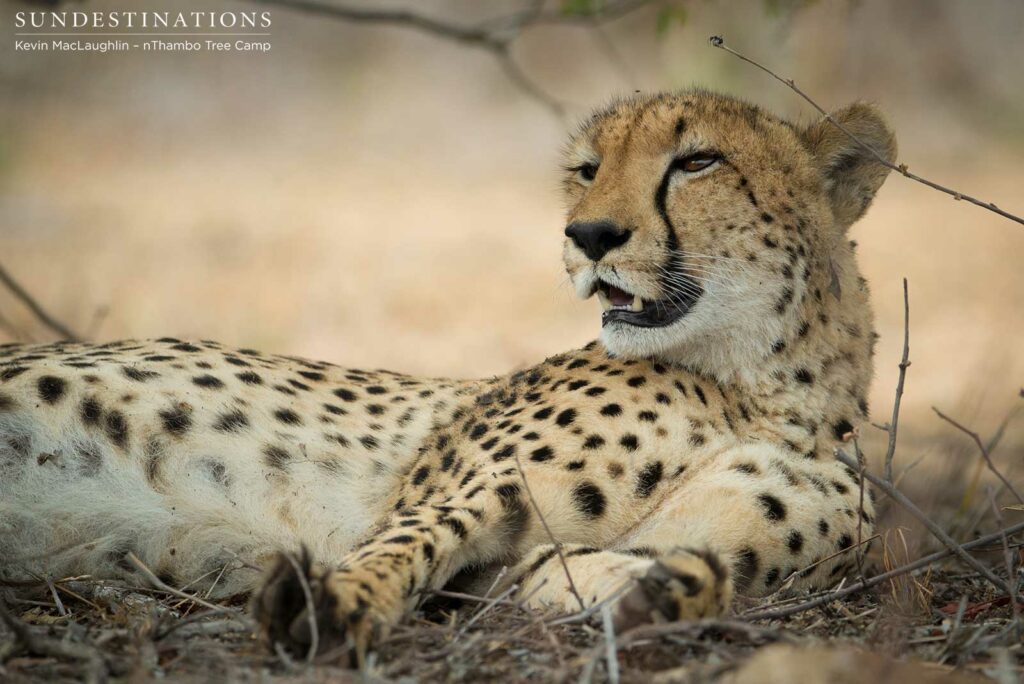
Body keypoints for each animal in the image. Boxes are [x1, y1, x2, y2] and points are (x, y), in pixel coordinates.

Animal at [0, 88, 896, 663]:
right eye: (588, 168)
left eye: (698, 161)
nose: (589, 234)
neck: (762, 386)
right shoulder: (456, 494)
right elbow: (400, 548)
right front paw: (334, 610)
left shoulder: (501, 578)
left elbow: (610, 571)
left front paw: (659, 595)